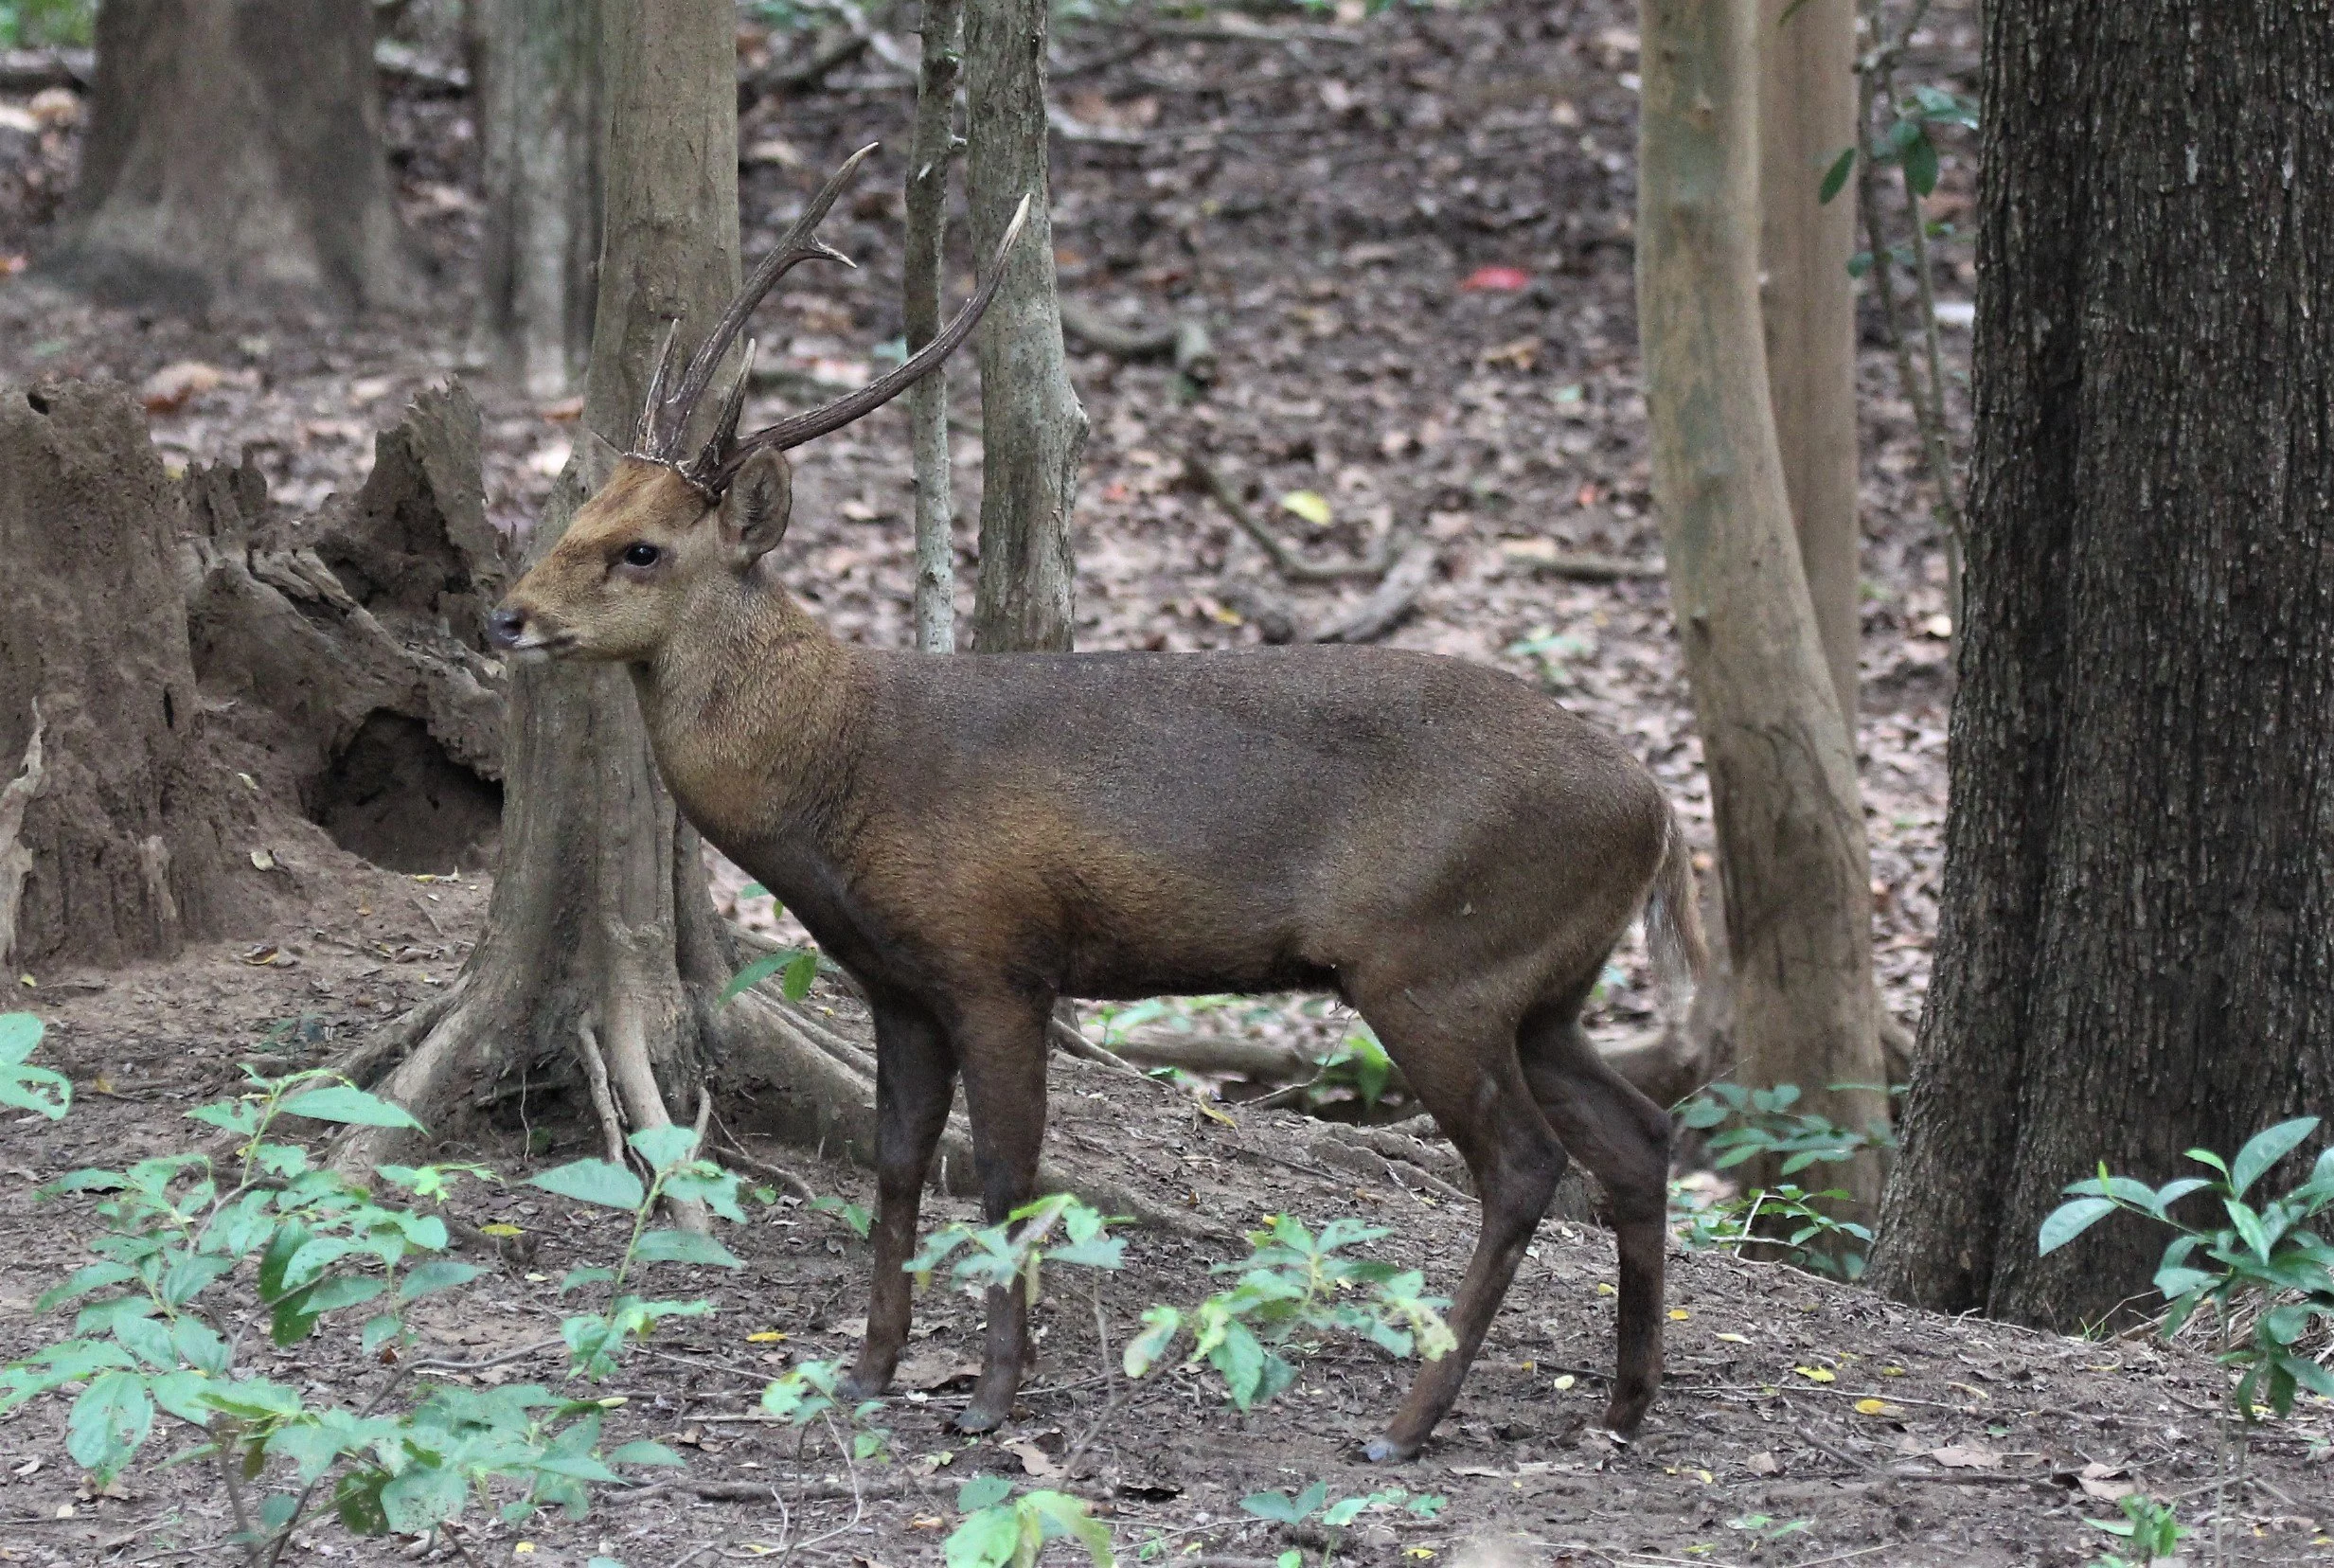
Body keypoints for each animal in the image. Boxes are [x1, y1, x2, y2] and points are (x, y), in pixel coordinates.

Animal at [488, 146, 1705, 1462]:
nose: (504, 615)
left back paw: (1405, 1422)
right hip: (1540, 983)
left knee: (1524, 1164)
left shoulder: (998, 957)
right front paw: (868, 1373)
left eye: (643, 549)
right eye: (580, 510)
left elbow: (1008, 1173)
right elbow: (898, 1165)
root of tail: (1658, 808)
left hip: (1434, 961)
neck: (842, 776)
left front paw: (987, 1398)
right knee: (1637, 1133)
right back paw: (1624, 1404)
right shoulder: (894, 980)